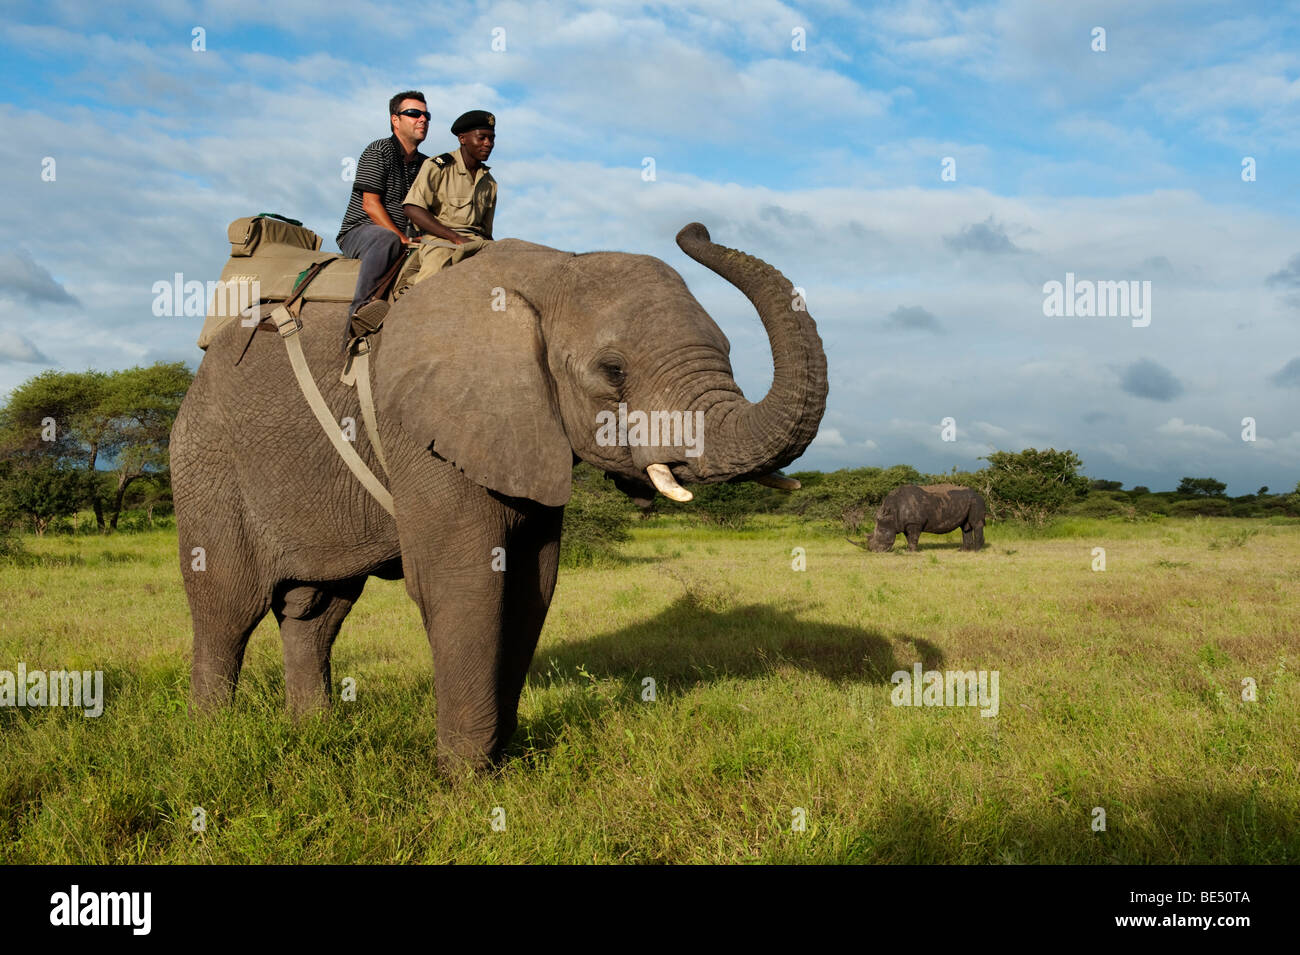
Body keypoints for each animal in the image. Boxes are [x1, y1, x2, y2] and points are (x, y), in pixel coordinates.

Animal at [172, 226, 826, 779]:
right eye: (612, 371)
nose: (695, 229)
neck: (552, 270)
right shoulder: (424, 432)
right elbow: (464, 583)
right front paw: (465, 785)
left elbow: (533, 583)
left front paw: (503, 764)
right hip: (208, 459)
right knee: (227, 606)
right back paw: (212, 741)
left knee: (316, 610)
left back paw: (314, 734)